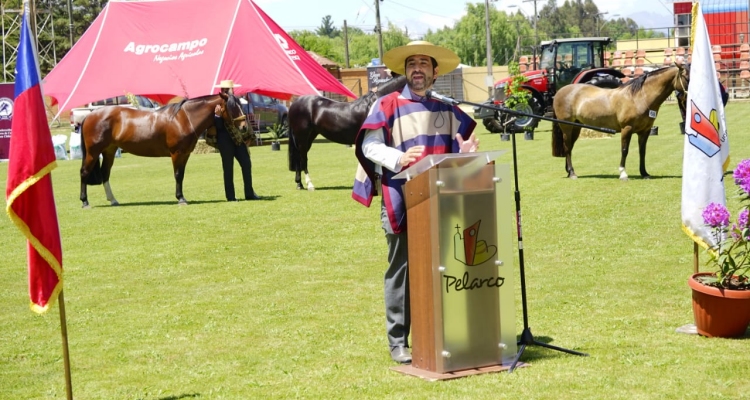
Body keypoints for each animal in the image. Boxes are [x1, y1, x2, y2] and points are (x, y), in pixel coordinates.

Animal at [81, 92, 248, 208]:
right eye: (232, 107)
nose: (244, 127)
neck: (184, 119)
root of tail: (89, 116)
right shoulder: (176, 154)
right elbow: (178, 175)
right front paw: (181, 199)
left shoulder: (185, 154)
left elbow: (182, 175)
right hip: (93, 152)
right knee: (84, 172)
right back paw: (85, 202)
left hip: (109, 151)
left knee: (105, 174)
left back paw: (113, 200)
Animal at [548, 65, 692, 180]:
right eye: (687, 77)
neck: (639, 97)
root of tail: (560, 91)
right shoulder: (626, 129)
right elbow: (624, 150)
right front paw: (623, 173)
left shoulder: (644, 131)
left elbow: (642, 151)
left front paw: (644, 173)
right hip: (566, 126)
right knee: (567, 147)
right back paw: (572, 173)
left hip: (576, 127)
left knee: (569, 147)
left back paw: (569, 171)